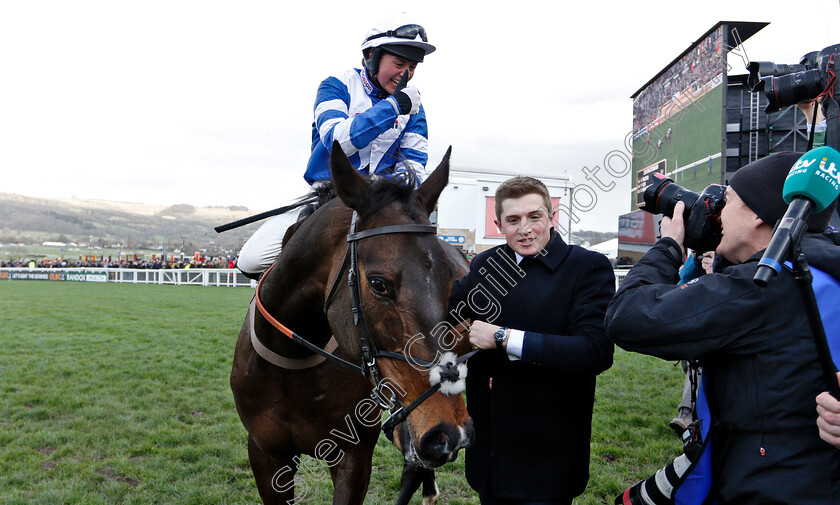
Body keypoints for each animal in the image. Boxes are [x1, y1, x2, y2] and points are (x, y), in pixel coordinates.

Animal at [230, 142, 476, 504]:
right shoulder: (266, 454)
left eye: (451, 282)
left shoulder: (353, 456)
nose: (451, 432)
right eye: (379, 284)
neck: (293, 361)